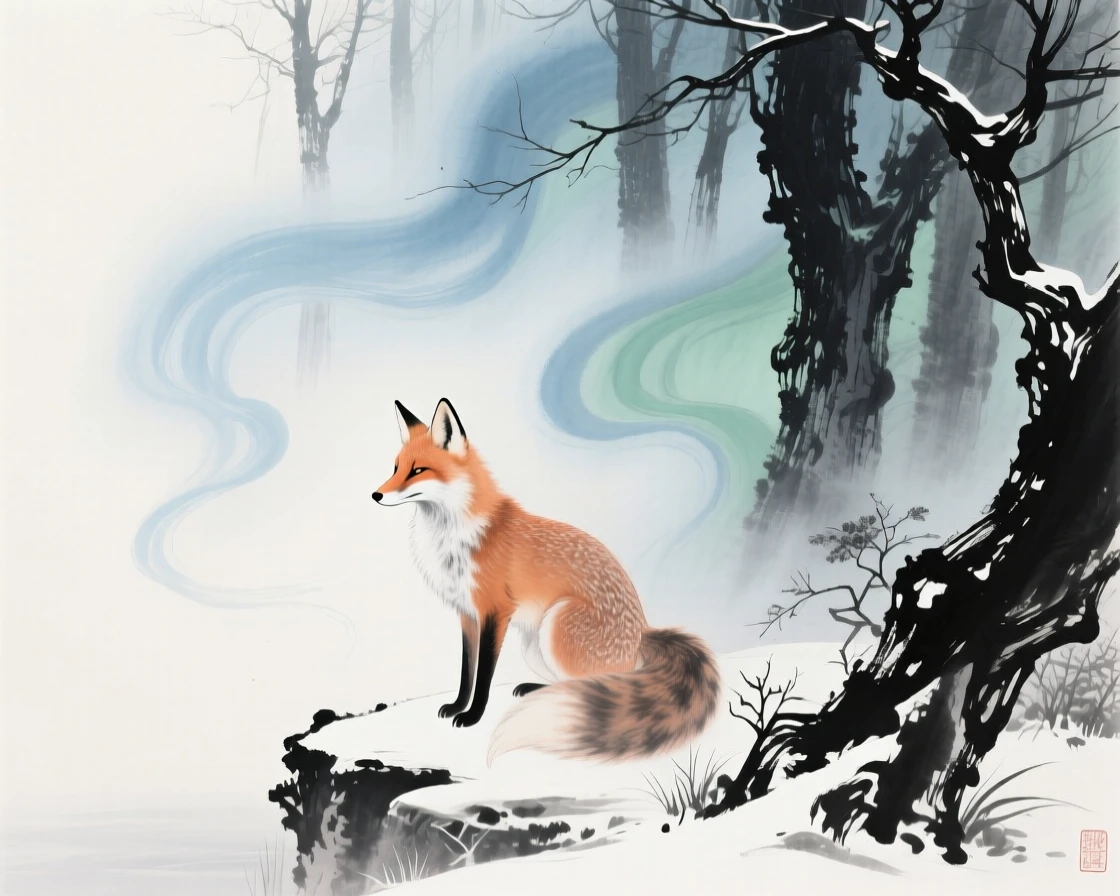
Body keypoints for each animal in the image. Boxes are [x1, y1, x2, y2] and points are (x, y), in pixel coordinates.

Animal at [372, 398, 722, 765]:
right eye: (395, 468)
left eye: (418, 471)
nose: (375, 495)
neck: (454, 537)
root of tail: (642, 633)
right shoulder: (467, 613)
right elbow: (467, 672)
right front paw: (457, 706)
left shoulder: (495, 610)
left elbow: (483, 676)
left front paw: (473, 716)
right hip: (534, 643)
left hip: (557, 624)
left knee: (602, 684)